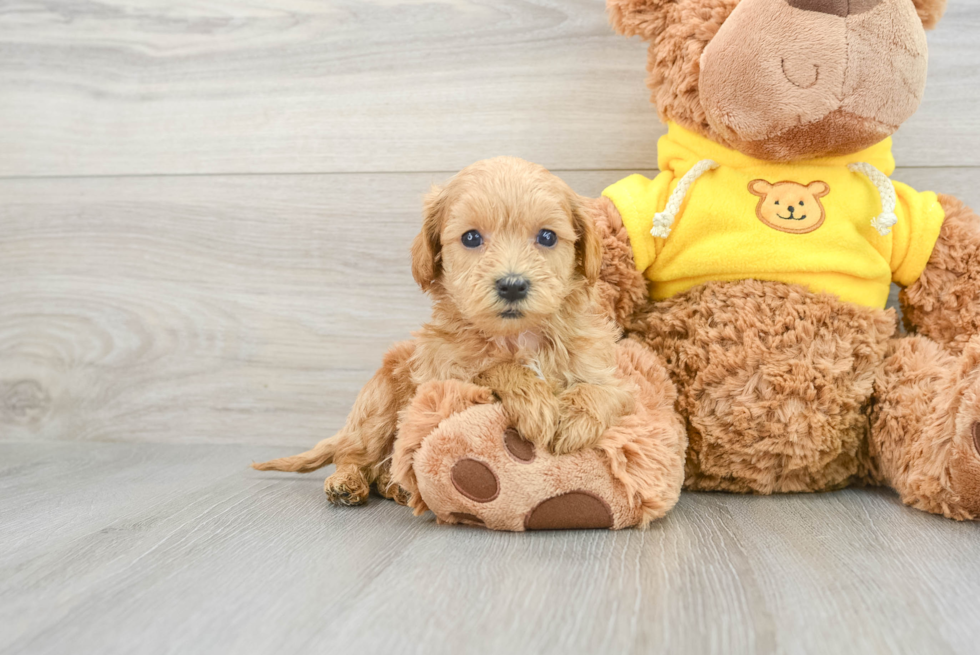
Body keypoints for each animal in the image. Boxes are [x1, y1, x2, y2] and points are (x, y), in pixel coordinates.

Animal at [253, 156, 636, 504]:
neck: (517, 336)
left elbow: (604, 392)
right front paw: (536, 404)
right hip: (378, 404)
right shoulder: (441, 376)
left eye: (546, 236)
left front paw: (575, 420)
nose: (512, 285)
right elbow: (493, 369)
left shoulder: (602, 368)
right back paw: (347, 482)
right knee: (355, 453)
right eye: (471, 237)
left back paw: (394, 487)